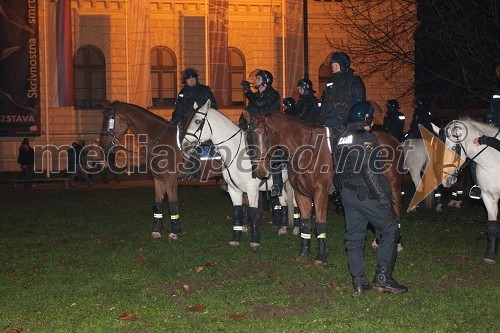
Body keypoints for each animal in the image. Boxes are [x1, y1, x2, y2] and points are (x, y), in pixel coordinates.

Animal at [100, 100, 222, 240]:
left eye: (110, 119)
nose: (103, 145)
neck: (159, 139)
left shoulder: (171, 181)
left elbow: (172, 204)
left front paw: (175, 231)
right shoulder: (158, 180)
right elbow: (158, 203)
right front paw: (157, 230)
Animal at [181, 100, 294, 250]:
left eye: (197, 121)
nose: (184, 144)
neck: (238, 153)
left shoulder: (252, 190)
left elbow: (253, 212)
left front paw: (255, 241)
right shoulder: (234, 190)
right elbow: (237, 211)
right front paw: (236, 239)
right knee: (284, 200)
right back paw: (283, 228)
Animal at [432, 118, 500, 262]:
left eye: (454, 148)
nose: (445, 180)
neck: (493, 161)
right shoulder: (488, 196)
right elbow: (493, 225)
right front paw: (490, 254)